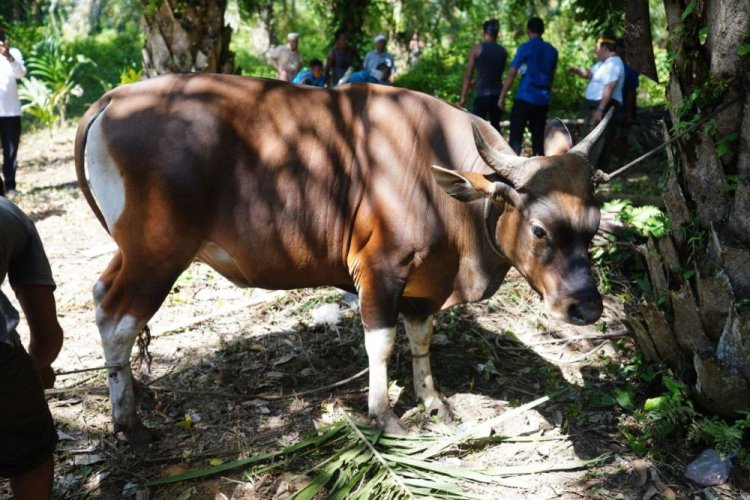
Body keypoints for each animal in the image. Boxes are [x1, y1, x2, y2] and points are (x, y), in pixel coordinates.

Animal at [75, 73, 612, 442]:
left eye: (594, 224)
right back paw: (128, 421)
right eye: (540, 229)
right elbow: (381, 344)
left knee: (101, 295)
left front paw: (432, 400)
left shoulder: (426, 281)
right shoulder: (379, 270)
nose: (585, 306)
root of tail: (112, 99)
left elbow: (421, 339)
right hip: (157, 255)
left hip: (133, 251)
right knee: (118, 318)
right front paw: (384, 415)